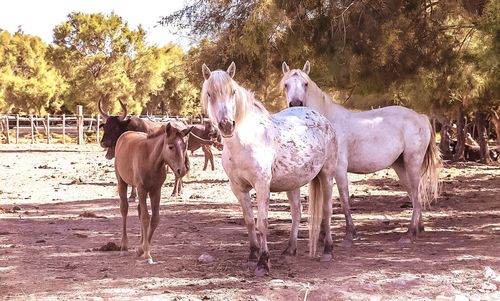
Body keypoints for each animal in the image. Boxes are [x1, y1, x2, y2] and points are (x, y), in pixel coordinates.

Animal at [114, 122, 191, 262]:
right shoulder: (141, 189)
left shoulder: (156, 190)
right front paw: (146, 253)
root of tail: (124, 135)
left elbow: (155, 218)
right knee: (124, 209)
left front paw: (141, 249)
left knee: (139, 210)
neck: (151, 160)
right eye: (171, 146)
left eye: (184, 147)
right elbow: (146, 217)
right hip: (122, 182)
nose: (181, 170)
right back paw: (124, 244)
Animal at [201, 62, 338, 276]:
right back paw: (290, 249)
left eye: (233, 92)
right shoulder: (238, 188)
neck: (245, 141)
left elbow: (263, 222)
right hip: (293, 183)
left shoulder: (262, 185)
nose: (226, 125)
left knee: (327, 209)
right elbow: (249, 221)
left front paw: (263, 263)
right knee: (297, 212)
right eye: (209, 94)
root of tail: (321, 118)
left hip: (327, 175)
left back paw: (328, 251)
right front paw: (252, 255)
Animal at [282, 61, 442, 244]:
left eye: (305, 84)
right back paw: (418, 229)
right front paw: (323, 235)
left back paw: (410, 232)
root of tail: (420, 117)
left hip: (412, 163)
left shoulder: (339, 169)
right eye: (286, 84)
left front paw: (350, 233)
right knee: (415, 196)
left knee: (416, 194)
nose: (296, 103)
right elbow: (325, 201)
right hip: (401, 167)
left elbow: (343, 198)